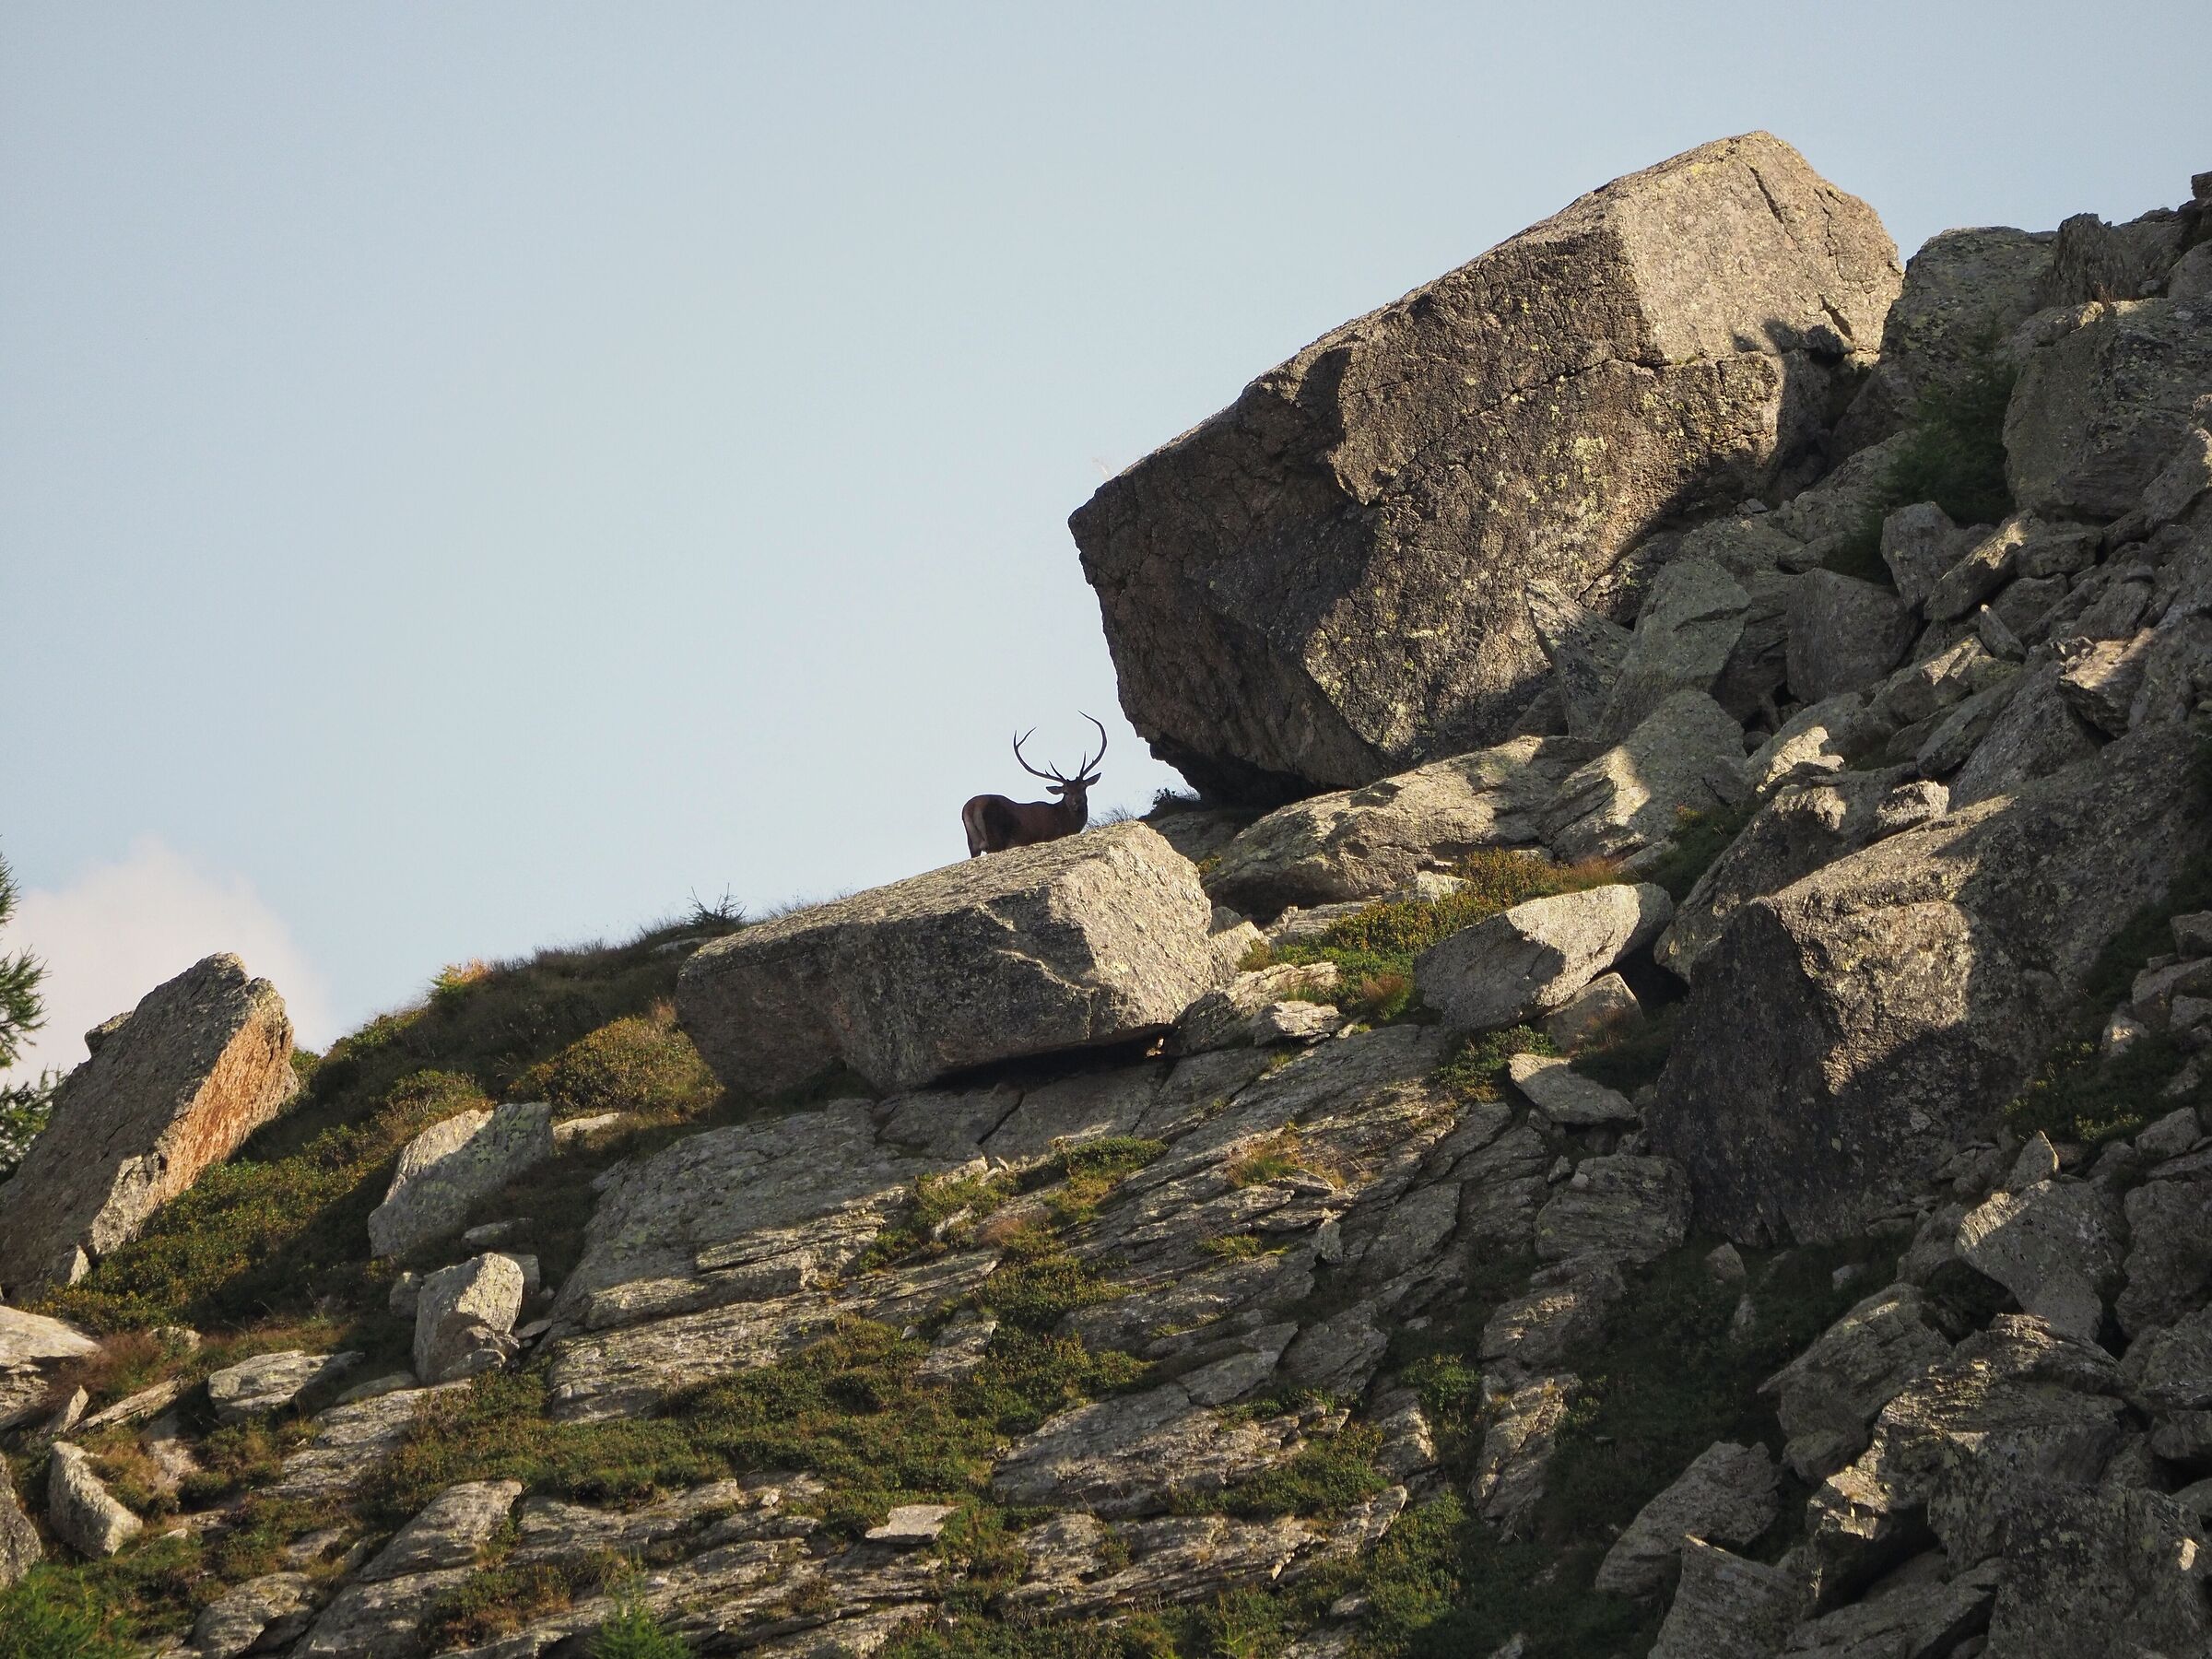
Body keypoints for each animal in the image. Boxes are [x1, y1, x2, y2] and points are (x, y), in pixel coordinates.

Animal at [962, 715, 1108, 856]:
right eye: (1065, 792)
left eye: (1083, 787)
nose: (1077, 801)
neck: (1066, 823)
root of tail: (971, 807)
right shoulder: (1048, 836)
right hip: (996, 840)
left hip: (972, 845)